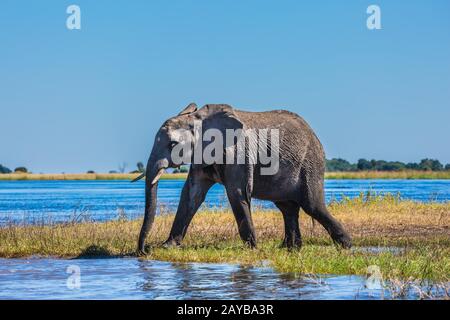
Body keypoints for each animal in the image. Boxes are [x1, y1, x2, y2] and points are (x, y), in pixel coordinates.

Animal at [134, 102, 352, 252]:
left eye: (172, 144)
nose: (144, 250)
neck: (198, 118)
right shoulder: (200, 155)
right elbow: (191, 194)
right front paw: (167, 246)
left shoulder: (238, 152)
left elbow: (236, 193)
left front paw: (252, 248)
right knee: (287, 207)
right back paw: (290, 248)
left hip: (310, 163)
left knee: (312, 205)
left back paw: (346, 245)